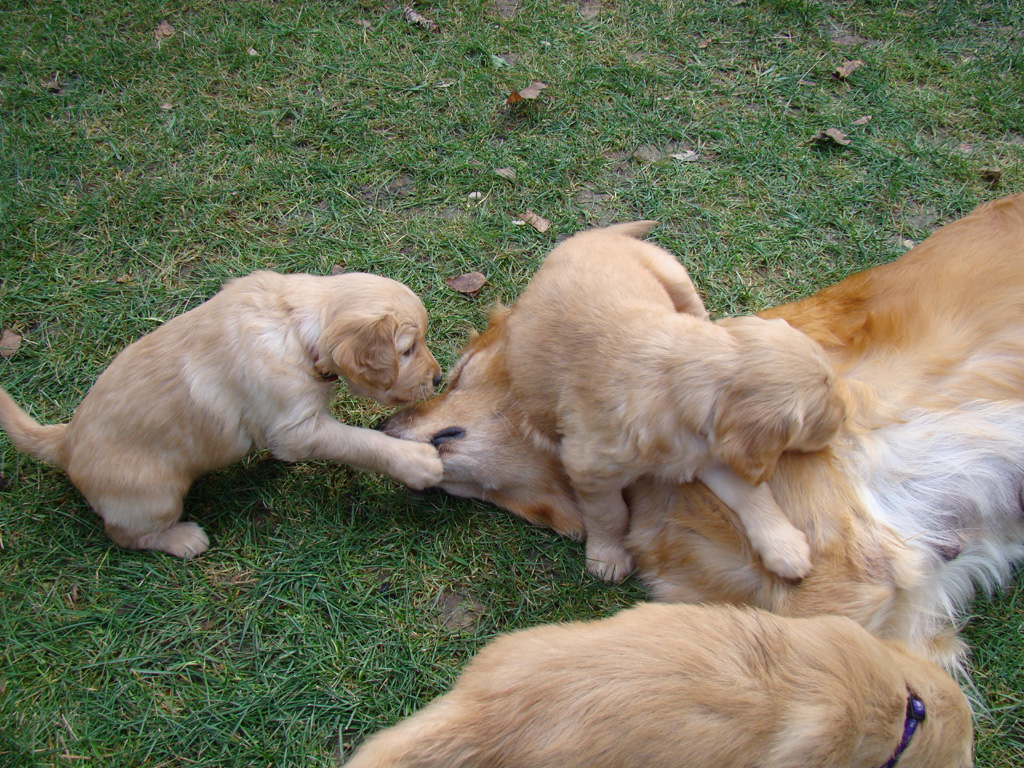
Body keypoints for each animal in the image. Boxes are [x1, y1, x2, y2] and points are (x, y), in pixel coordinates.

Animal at [0, 270, 444, 561]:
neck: (294, 326)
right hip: (154, 494)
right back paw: (182, 540)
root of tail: (65, 440)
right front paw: (416, 461)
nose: (439, 378)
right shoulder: (296, 429)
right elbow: (359, 442)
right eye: (407, 350)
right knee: (123, 533)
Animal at [503, 222, 847, 581]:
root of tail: (589, 235)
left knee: (699, 312)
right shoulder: (589, 469)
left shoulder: (710, 452)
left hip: (675, 277)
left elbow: (751, 493)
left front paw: (785, 546)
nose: (846, 417)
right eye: (818, 418)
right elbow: (611, 514)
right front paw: (608, 556)